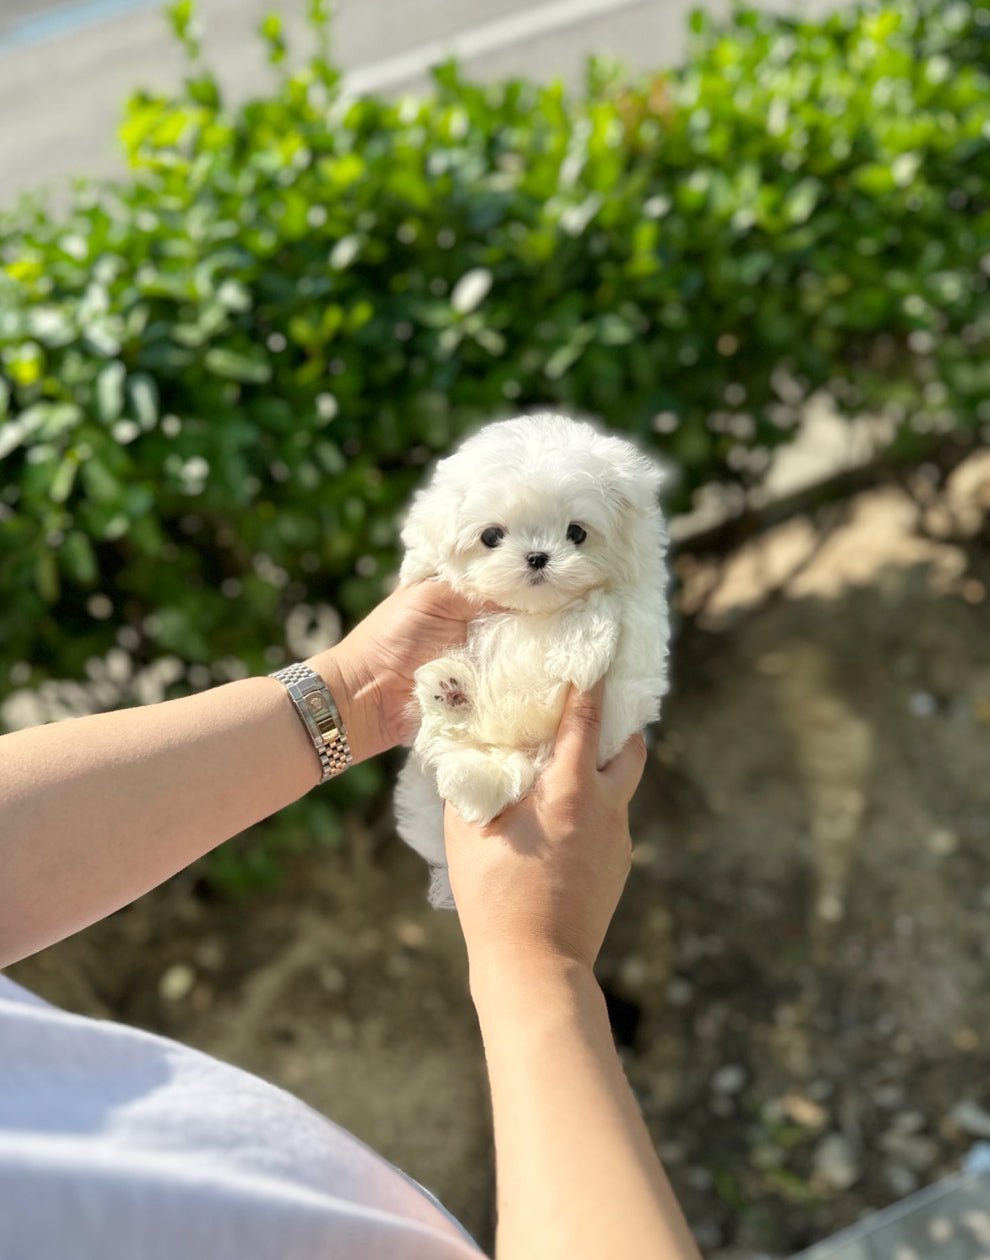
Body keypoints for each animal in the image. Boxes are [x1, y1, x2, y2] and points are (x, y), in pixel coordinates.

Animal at [390, 413, 665, 907]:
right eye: (491, 536)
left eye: (577, 532)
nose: (538, 556)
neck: (539, 611)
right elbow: (427, 555)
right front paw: (419, 566)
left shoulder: (636, 615)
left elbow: (607, 613)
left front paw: (583, 648)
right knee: (467, 752)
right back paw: (451, 694)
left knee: (506, 773)